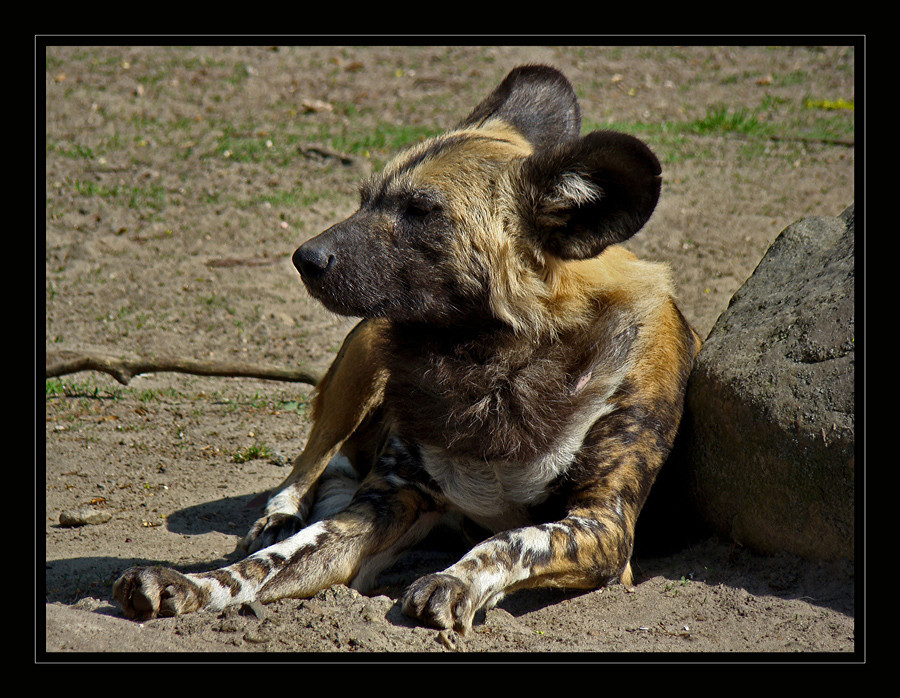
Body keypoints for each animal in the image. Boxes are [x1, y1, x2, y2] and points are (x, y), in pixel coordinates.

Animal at [114, 65, 704, 632]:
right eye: (365, 199)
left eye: (421, 209)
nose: (304, 257)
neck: (492, 369)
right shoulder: (387, 500)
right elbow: (268, 564)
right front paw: (191, 585)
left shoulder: (605, 527)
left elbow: (507, 542)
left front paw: (455, 581)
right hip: (363, 361)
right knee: (308, 466)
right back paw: (279, 514)